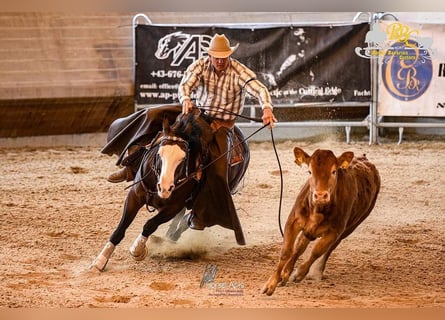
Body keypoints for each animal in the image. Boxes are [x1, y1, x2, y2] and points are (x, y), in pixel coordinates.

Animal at [90, 109, 250, 272]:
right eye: (159, 154)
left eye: (183, 159)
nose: (164, 188)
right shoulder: (135, 196)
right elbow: (120, 229)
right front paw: (100, 261)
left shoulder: (172, 207)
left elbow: (150, 224)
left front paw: (137, 250)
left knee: (187, 221)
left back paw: (171, 239)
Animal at [262, 147, 380, 296]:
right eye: (309, 171)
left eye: (334, 171)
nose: (320, 195)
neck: (318, 210)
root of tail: (364, 159)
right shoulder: (293, 222)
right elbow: (286, 252)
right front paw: (271, 283)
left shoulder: (334, 231)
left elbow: (316, 251)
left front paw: (299, 273)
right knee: (300, 246)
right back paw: (286, 273)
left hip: (351, 226)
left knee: (329, 248)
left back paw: (314, 272)